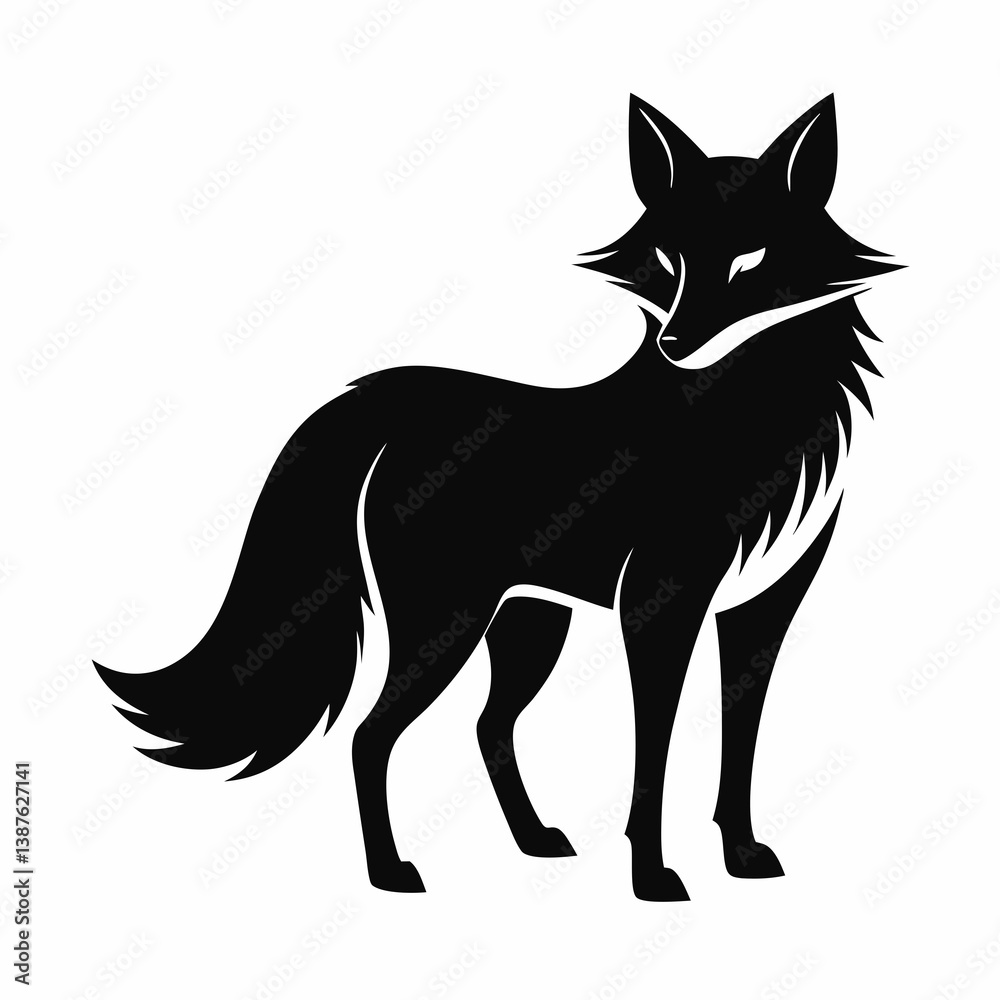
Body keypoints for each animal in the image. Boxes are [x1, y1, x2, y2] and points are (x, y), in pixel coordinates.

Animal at [96, 93, 902, 901]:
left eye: (749, 261)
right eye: (670, 261)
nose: (674, 344)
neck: (747, 422)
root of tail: (388, 401)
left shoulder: (761, 609)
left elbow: (741, 745)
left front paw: (743, 856)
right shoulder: (659, 606)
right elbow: (655, 749)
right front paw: (651, 876)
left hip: (530, 624)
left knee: (488, 727)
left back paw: (534, 840)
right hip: (448, 625)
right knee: (370, 736)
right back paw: (392, 873)